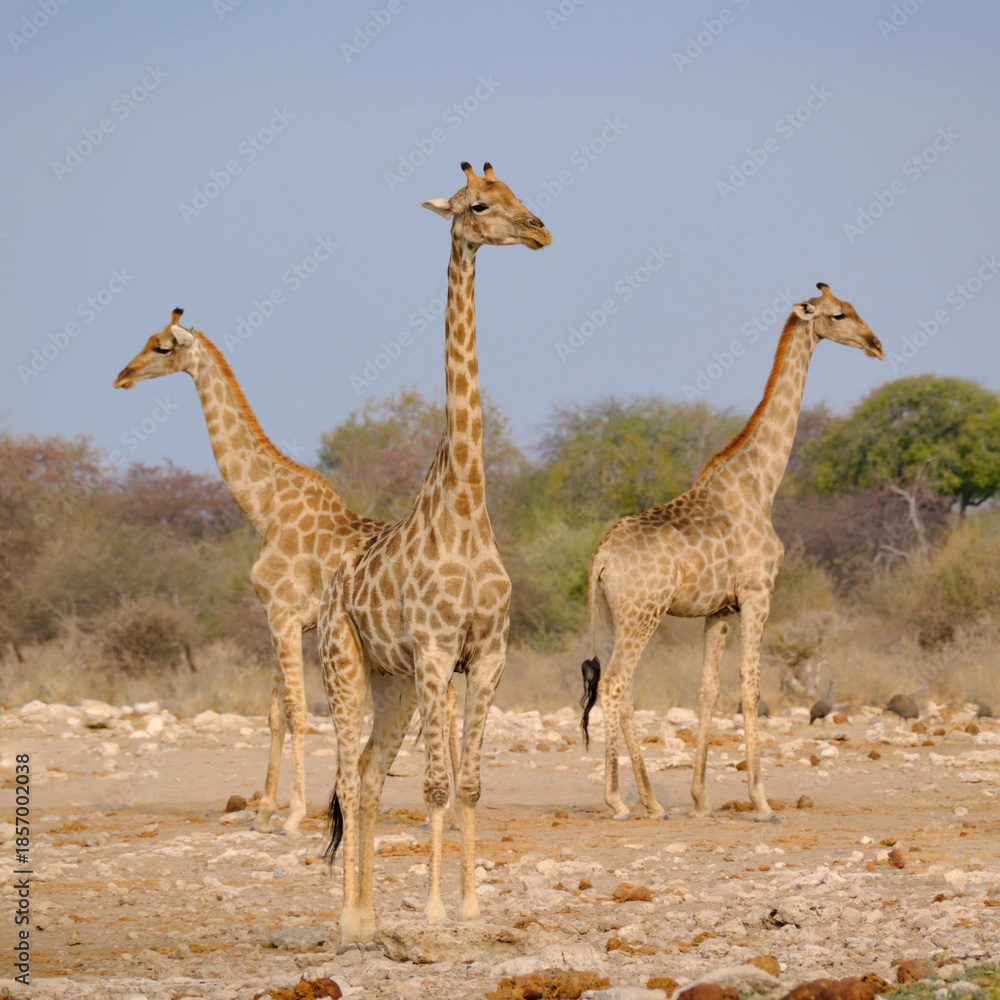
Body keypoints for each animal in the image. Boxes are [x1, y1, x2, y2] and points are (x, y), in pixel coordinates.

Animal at [114, 312, 386, 833]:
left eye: (161, 347)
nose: (122, 376)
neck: (265, 509)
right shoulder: (282, 620)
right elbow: (275, 713)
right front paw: (263, 813)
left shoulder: (282, 615)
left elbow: (298, 712)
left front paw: (293, 815)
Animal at [319, 162, 550, 944]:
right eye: (478, 205)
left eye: (515, 194)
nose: (540, 229)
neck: (467, 511)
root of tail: (328, 595)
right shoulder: (433, 649)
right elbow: (436, 784)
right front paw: (433, 909)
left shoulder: (486, 653)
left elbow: (471, 785)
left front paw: (473, 908)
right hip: (344, 666)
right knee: (346, 774)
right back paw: (348, 922)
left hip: (391, 684)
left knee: (365, 775)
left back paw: (365, 919)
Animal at [580, 283, 882, 822]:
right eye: (838, 315)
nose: (876, 344)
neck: (762, 481)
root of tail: (601, 556)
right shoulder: (759, 593)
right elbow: (750, 683)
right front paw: (761, 800)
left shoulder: (719, 609)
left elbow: (709, 688)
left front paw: (701, 798)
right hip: (644, 613)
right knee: (615, 685)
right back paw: (618, 800)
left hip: (617, 615)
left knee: (623, 687)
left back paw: (653, 801)